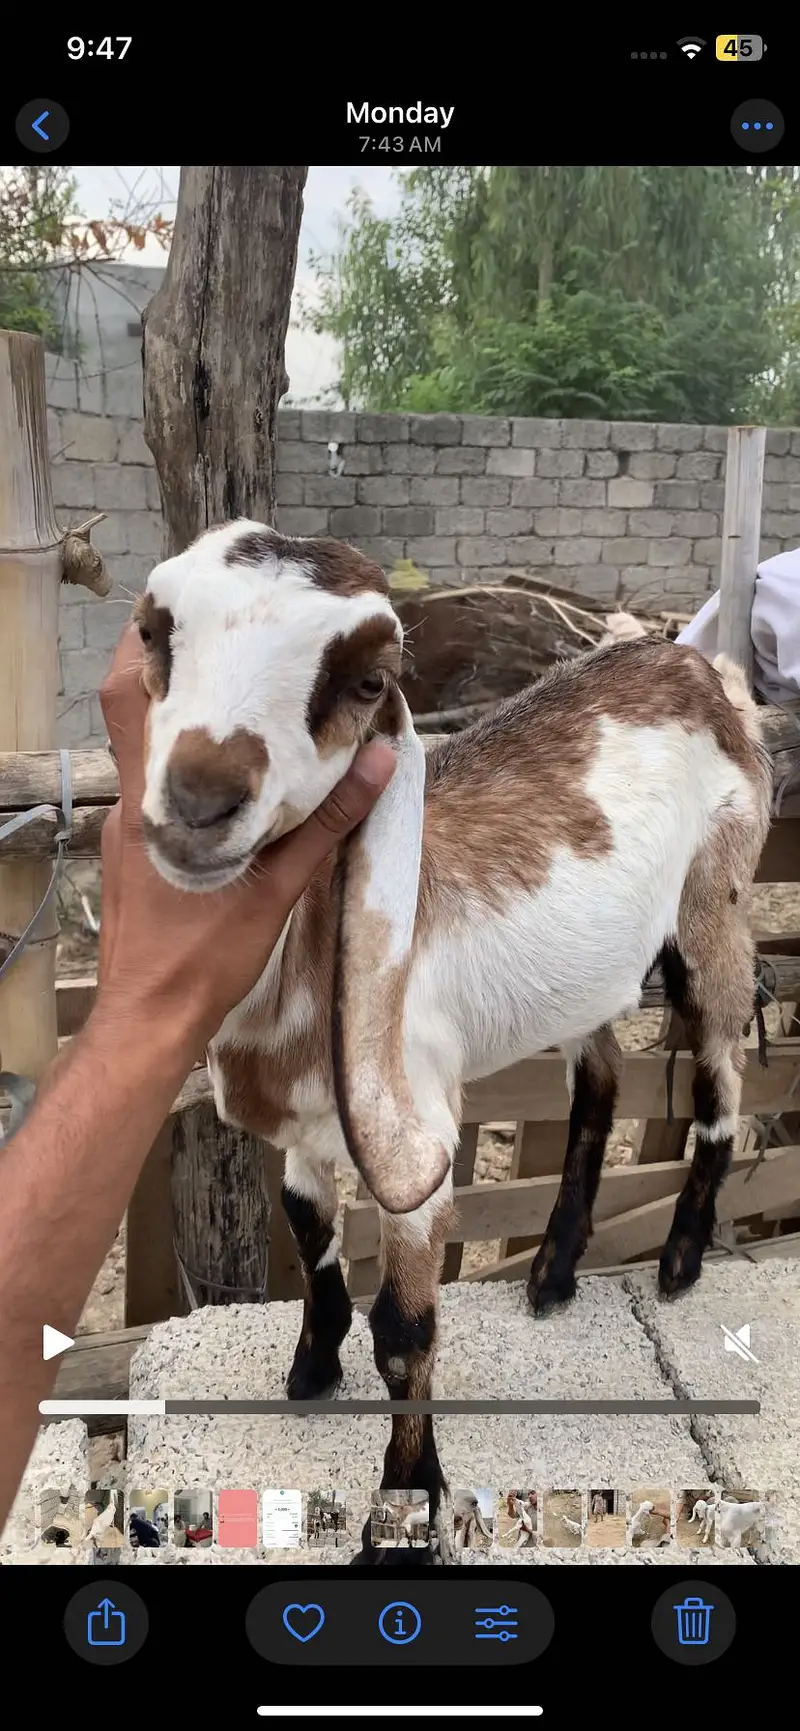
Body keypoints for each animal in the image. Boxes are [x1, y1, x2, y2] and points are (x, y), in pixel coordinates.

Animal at [133, 521, 772, 1565]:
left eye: (367, 679)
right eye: (156, 632)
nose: (197, 801)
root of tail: (692, 661)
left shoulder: (417, 1135)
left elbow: (404, 1331)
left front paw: (402, 1515)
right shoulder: (310, 1130)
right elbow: (307, 1228)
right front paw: (311, 1369)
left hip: (716, 896)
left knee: (721, 1069)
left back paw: (680, 1258)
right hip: (589, 975)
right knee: (600, 1080)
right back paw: (553, 1270)